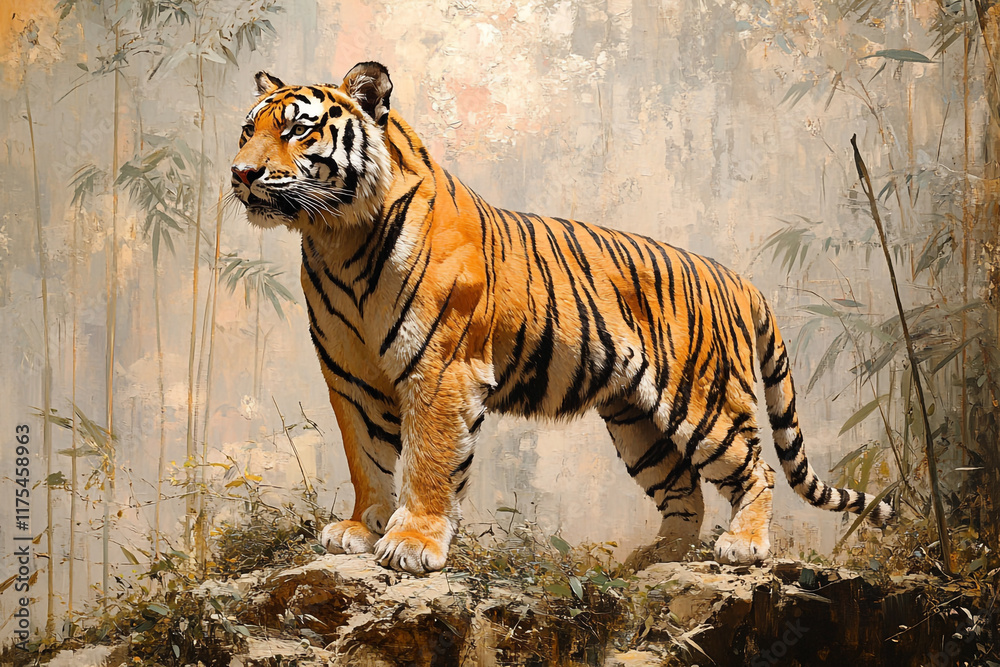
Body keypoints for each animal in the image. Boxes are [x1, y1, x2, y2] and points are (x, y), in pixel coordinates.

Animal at [230, 61, 894, 575]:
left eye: (296, 130)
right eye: (246, 130)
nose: (240, 173)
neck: (337, 236)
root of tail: (735, 276)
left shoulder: (440, 369)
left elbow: (429, 461)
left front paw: (412, 542)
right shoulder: (353, 376)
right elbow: (366, 456)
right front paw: (360, 529)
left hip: (704, 402)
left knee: (755, 470)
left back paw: (743, 546)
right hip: (638, 425)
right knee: (685, 493)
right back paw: (661, 558)